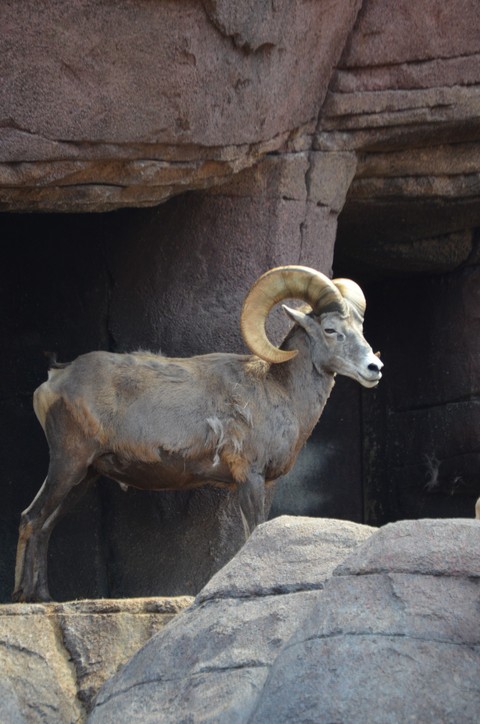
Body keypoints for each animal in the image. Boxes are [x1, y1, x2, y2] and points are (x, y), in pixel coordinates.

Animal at [13, 265, 383, 602]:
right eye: (331, 329)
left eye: (360, 328)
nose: (374, 368)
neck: (277, 390)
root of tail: (54, 379)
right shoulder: (248, 477)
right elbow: (251, 533)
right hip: (68, 463)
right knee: (31, 518)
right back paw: (24, 597)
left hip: (84, 475)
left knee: (45, 524)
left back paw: (43, 597)